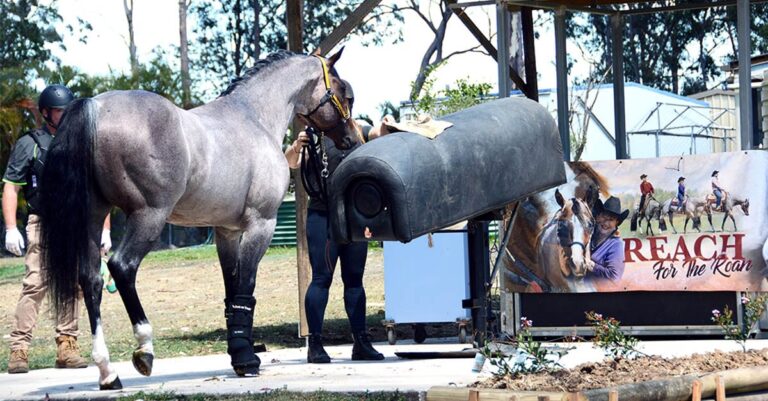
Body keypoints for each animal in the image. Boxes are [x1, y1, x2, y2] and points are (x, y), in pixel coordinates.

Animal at [38, 50, 359, 390]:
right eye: (344, 93)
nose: (351, 138)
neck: (254, 117)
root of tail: (95, 107)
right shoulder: (261, 225)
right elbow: (246, 287)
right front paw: (248, 361)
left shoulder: (226, 231)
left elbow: (232, 291)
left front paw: (239, 354)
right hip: (148, 216)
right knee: (122, 267)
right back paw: (144, 350)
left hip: (94, 217)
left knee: (91, 279)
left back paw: (108, 372)